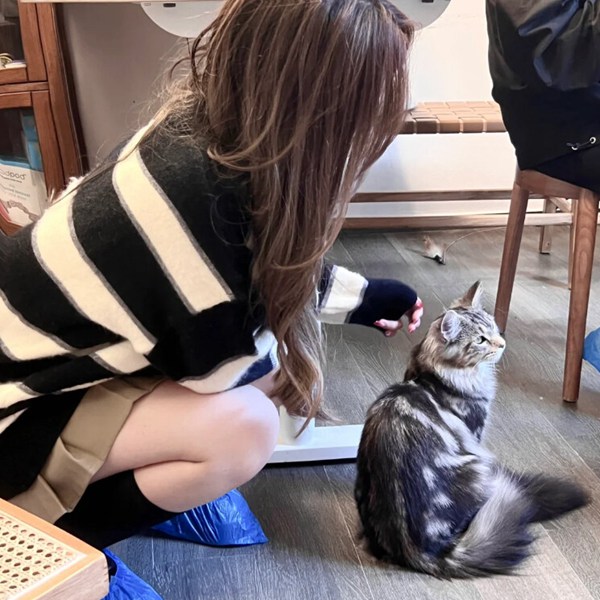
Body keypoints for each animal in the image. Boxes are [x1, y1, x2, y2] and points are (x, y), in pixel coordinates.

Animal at [354, 281, 589, 579]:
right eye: (480, 340)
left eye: (494, 328)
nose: (502, 343)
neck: (435, 376)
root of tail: (421, 552)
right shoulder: (475, 431)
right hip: (478, 466)